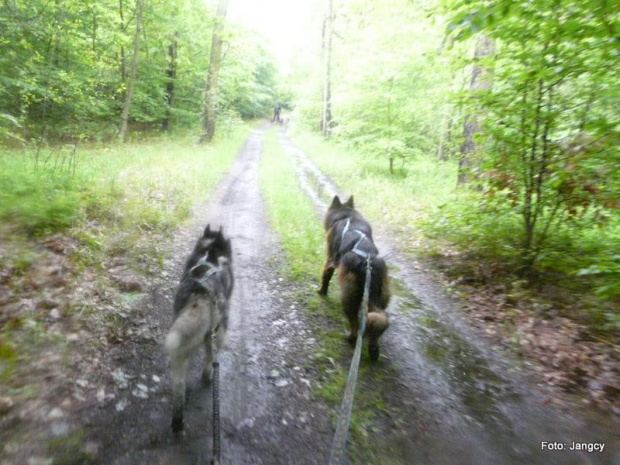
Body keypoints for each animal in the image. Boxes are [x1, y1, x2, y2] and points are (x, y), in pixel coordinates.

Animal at [165, 225, 232, 432]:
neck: (211, 252)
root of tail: (202, 294)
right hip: (217, 333)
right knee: (210, 359)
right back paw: (207, 377)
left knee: (179, 383)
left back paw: (177, 419)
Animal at [318, 194, 390, 360]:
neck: (346, 215)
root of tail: (369, 267)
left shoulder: (330, 259)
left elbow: (326, 277)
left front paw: (322, 292)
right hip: (381, 300)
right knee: (375, 327)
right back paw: (374, 352)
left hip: (348, 298)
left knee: (356, 326)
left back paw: (350, 338)